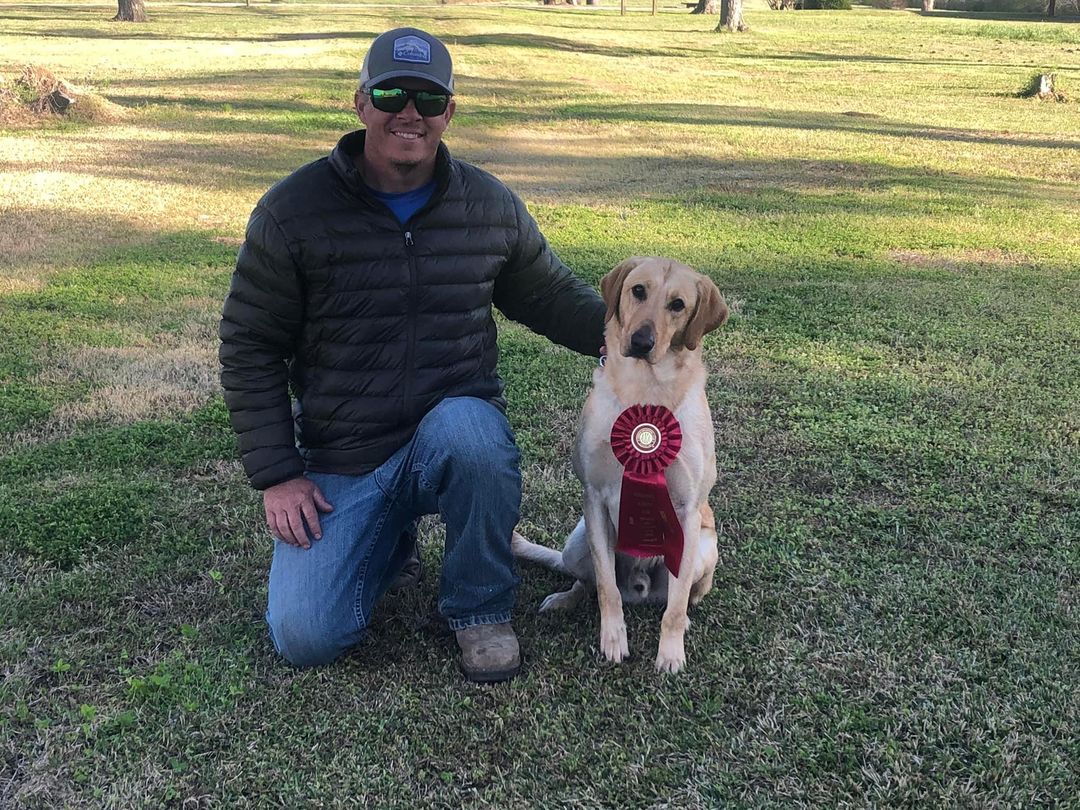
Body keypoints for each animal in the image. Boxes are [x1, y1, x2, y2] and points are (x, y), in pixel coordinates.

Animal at [511, 258, 725, 673]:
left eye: (678, 304)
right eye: (638, 290)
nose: (641, 342)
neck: (645, 389)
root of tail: (639, 590)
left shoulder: (688, 511)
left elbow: (675, 606)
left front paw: (670, 653)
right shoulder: (594, 497)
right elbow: (606, 588)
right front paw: (613, 640)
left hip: (706, 548)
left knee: (684, 596)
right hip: (578, 543)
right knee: (587, 582)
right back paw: (564, 599)